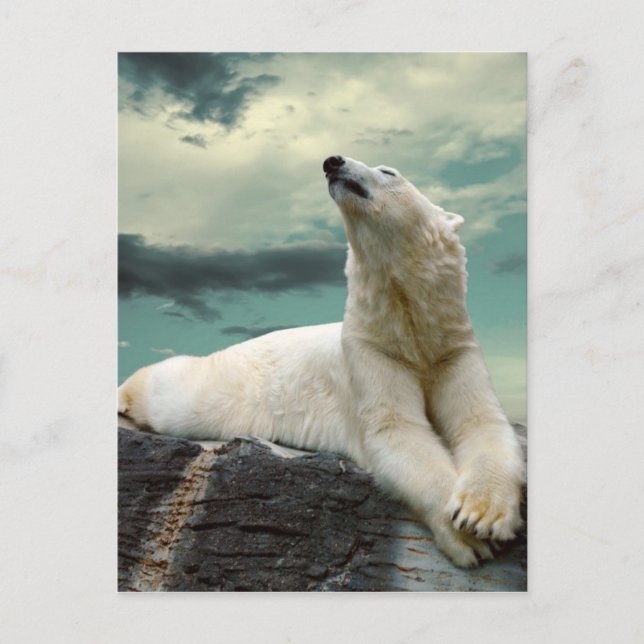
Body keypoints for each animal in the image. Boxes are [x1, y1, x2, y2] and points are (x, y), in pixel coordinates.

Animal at [118, 155, 525, 568]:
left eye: (389, 171)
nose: (333, 162)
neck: (409, 328)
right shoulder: (370, 351)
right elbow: (397, 431)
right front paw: (467, 536)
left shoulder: (452, 349)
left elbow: (481, 422)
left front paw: (481, 514)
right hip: (223, 385)